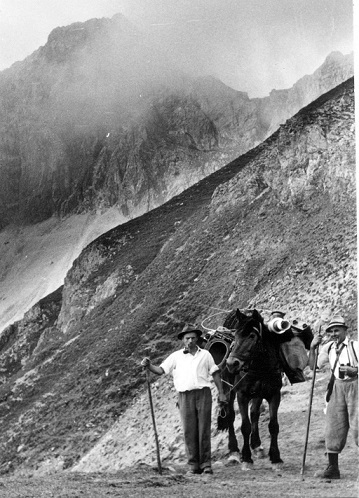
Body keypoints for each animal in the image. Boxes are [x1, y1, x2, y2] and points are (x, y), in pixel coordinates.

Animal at [219, 310, 296, 468]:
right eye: (236, 335)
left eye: (252, 336)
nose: (232, 363)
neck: (261, 367)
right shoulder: (242, 395)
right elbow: (245, 426)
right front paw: (246, 457)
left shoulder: (274, 395)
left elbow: (273, 425)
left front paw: (275, 456)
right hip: (229, 389)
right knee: (230, 415)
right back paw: (234, 450)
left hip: (258, 394)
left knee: (254, 413)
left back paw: (256, 445)